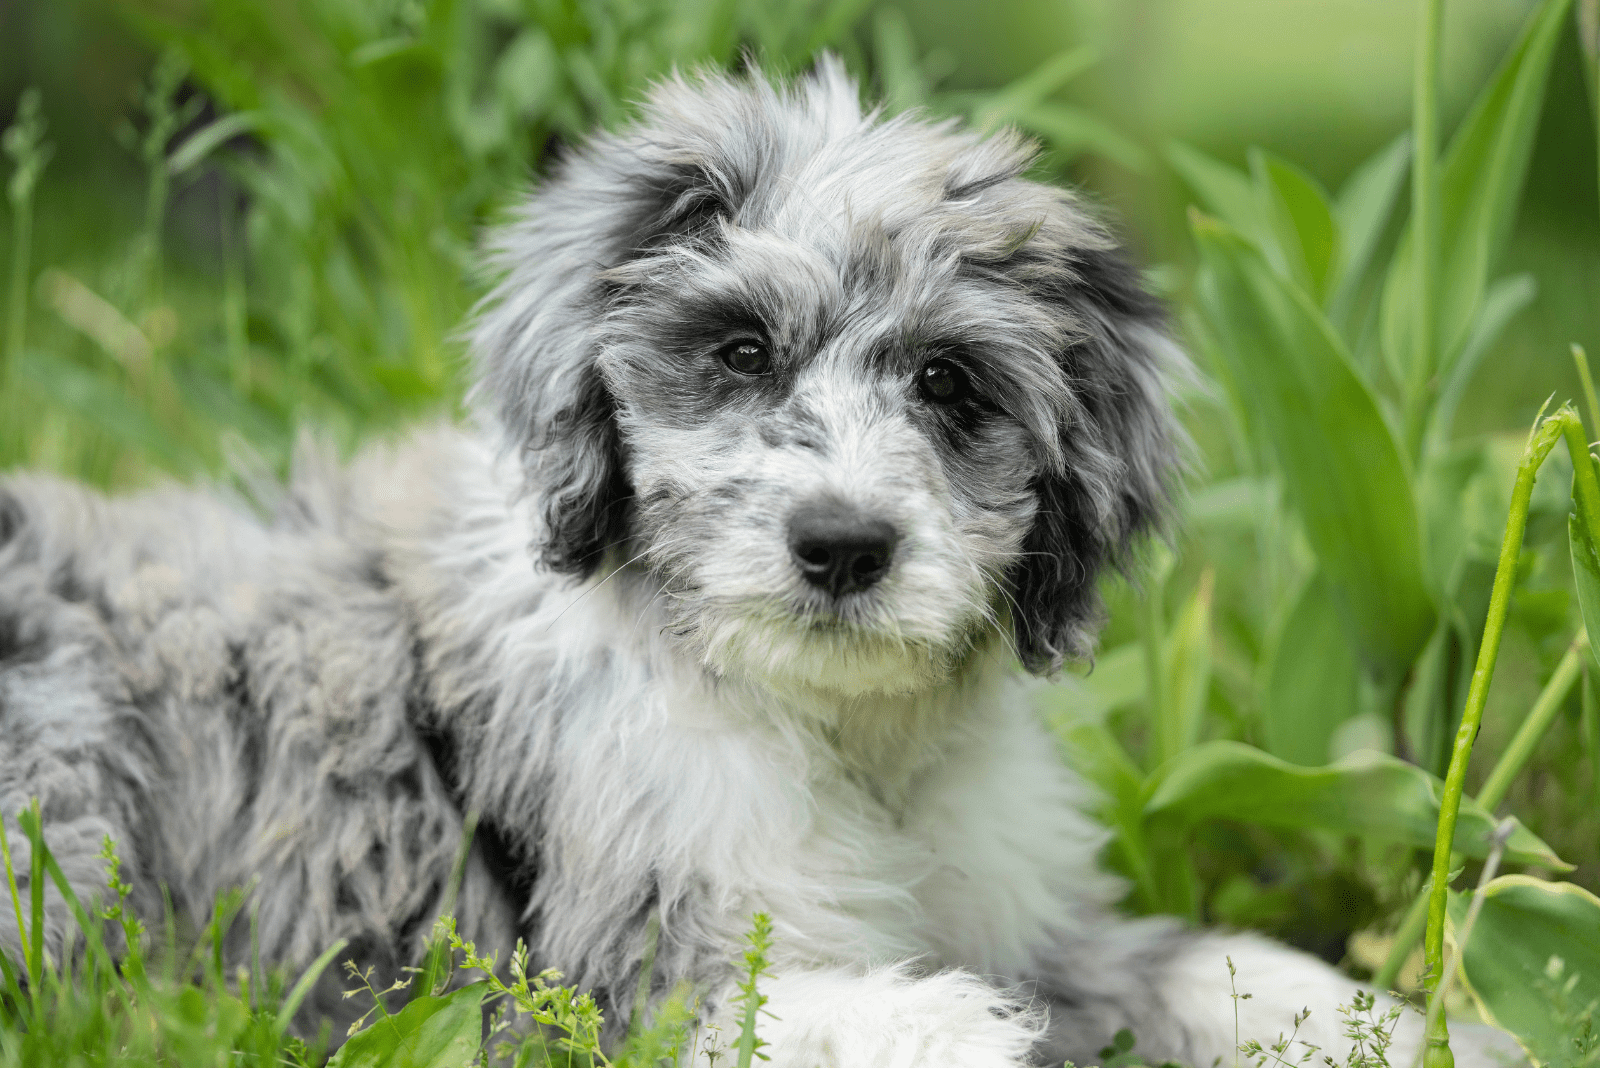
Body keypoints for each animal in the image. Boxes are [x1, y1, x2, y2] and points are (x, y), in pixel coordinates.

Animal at [0, 60, 1516, 1068]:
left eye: (951, 382)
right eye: (738, 352)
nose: (841, 546)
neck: (837, 735)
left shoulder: (1024, 912)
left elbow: (1204, 965)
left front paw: (1415, 1023)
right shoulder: (595, 979)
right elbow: (843, 1017)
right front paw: (966, 1026)